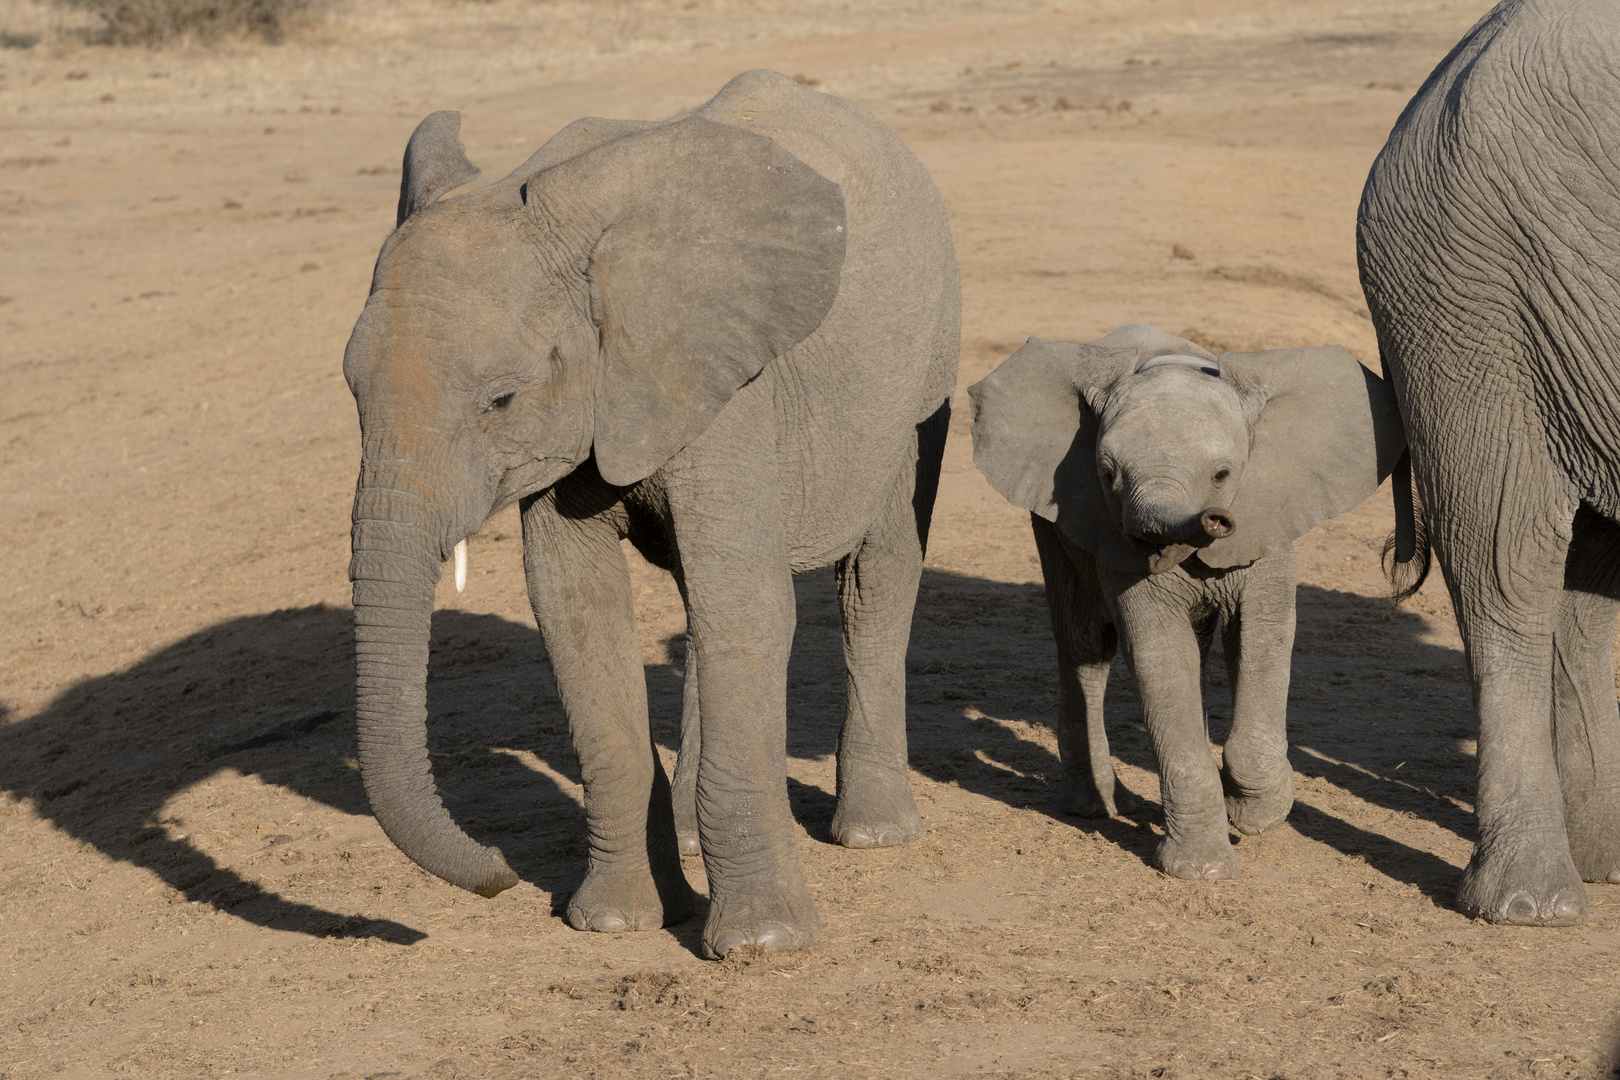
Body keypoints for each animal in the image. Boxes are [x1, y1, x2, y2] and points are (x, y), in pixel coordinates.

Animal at [965, 327, 1399, 880]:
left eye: (1222, 474)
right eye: (1107, 474)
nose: (1215, 520)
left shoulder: (1267, 519)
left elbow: (1263, 633)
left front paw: (1257, 814)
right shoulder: (1112, 533)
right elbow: (1158, 654)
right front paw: (1200, 870)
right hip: (1055, 529)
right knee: (1087, 645)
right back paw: (1100, 808)